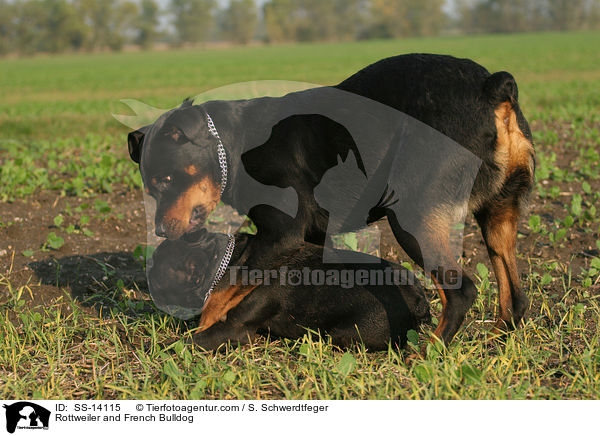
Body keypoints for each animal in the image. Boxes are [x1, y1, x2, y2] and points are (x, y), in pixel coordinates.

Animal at [150, 232, 432, 350]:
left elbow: (184, 342)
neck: (230, 262)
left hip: (347, 332)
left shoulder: (231, 330)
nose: (148, 270)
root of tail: (418, 298)